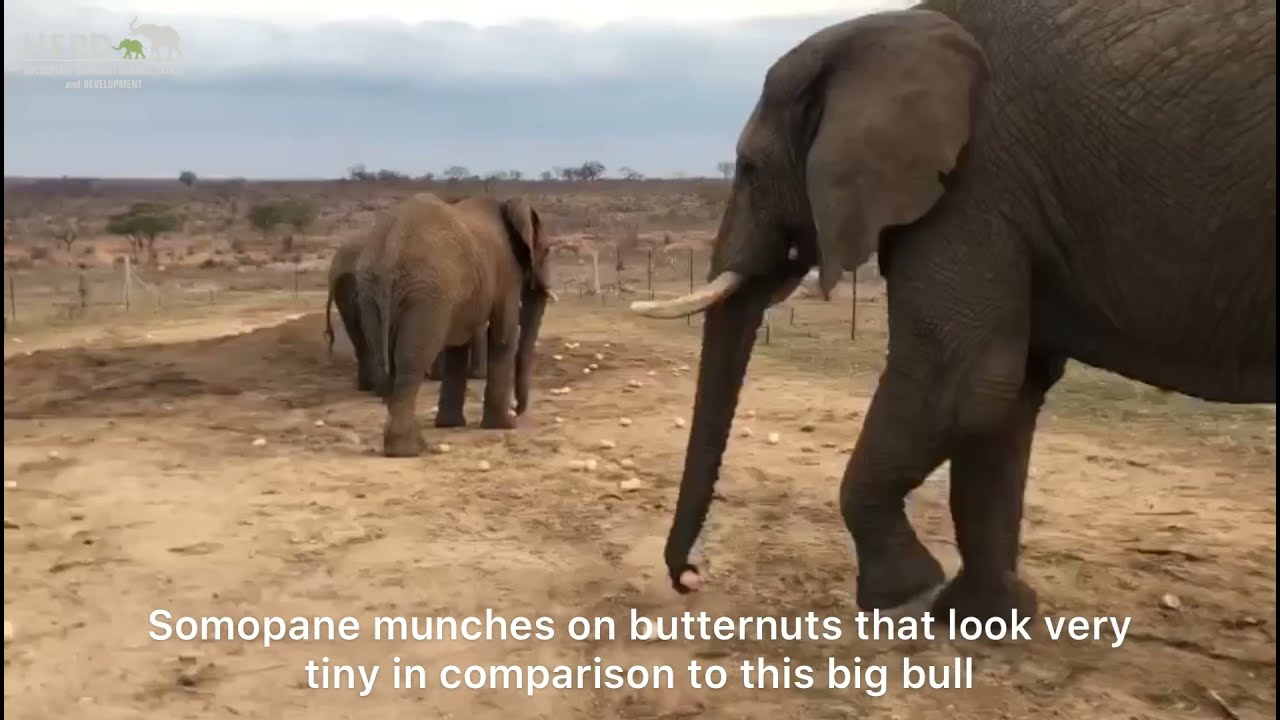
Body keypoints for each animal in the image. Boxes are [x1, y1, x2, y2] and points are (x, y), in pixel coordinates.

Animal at [356, 192, 557, 457]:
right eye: (546, 250)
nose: (517, 410)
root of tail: (390, 250)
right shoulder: (506, 272)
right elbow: (503, 336)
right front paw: (504, 425)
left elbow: (457, 347)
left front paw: (451, 425)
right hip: (426, 293)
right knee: (410, 363)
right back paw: (408, 450)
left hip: (370, 292)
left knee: (385, 362)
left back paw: (408, 444)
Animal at [630, 2, 1275, 624]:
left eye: (749, 169)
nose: (690, 578)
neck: (895, 30)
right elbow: (1004, 399)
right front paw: (986, 619)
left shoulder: (975, 184)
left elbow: (957, 381)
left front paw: (903, 594)